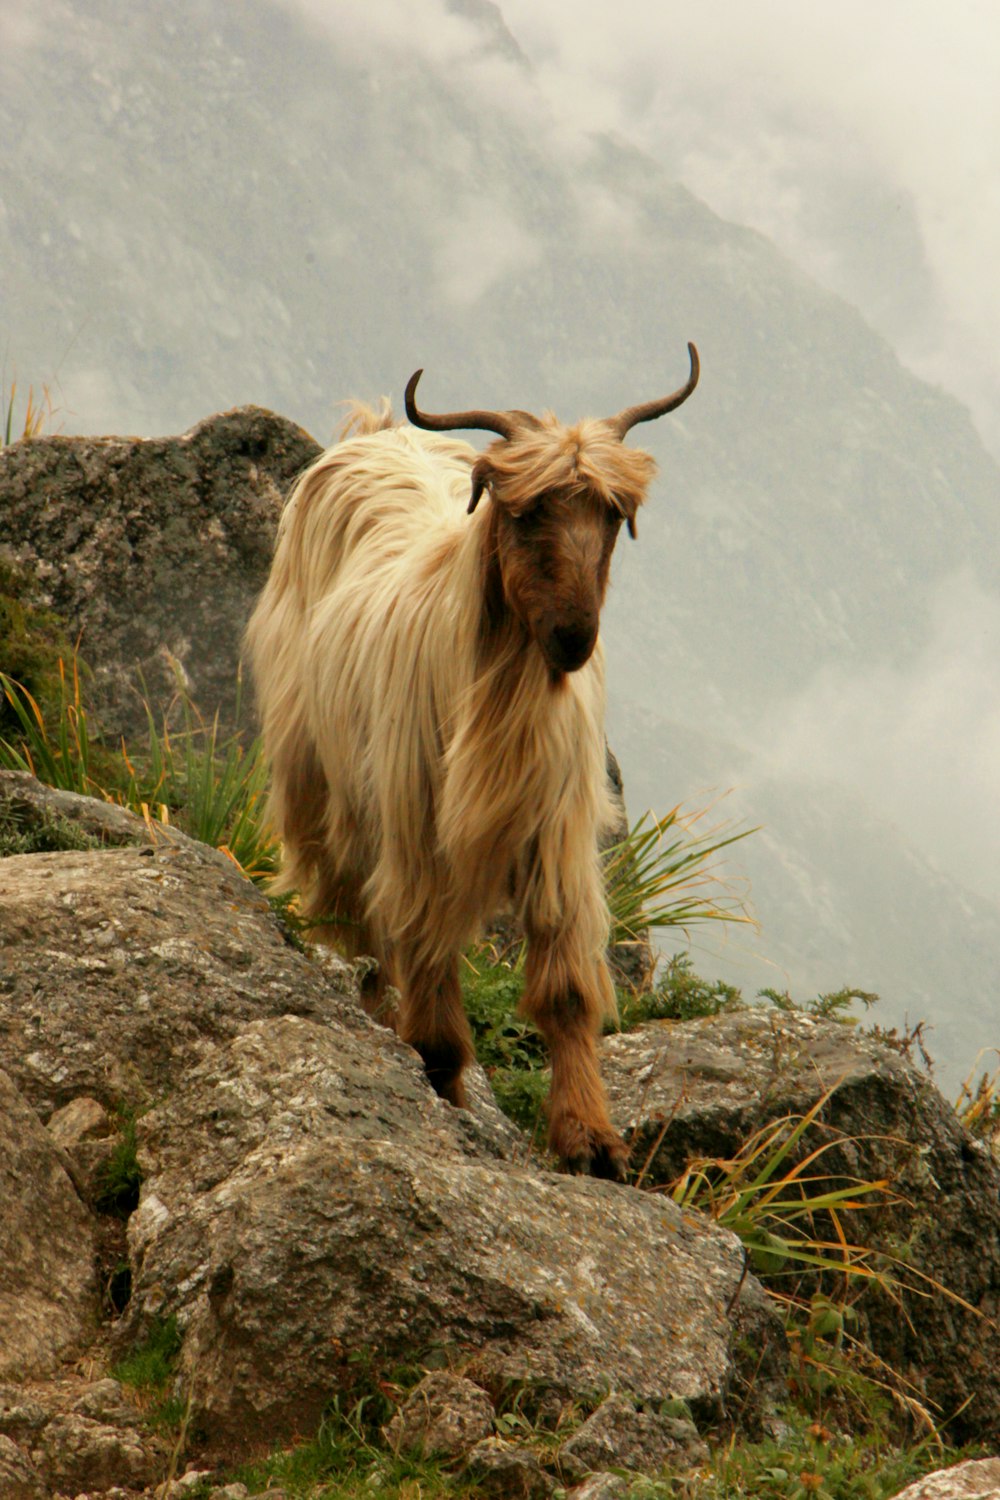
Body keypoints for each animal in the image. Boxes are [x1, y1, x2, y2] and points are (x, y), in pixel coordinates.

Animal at [248, 345, 701, 1176]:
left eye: (610, 517)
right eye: (523, 514)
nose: (573, 638)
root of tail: (380, 432)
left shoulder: (556, 836)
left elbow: (565, 990)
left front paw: (591, 1141)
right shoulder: (417, 827)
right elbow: (427, 966)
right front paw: (444, 1088)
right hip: (316, 772)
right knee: (349, 912)